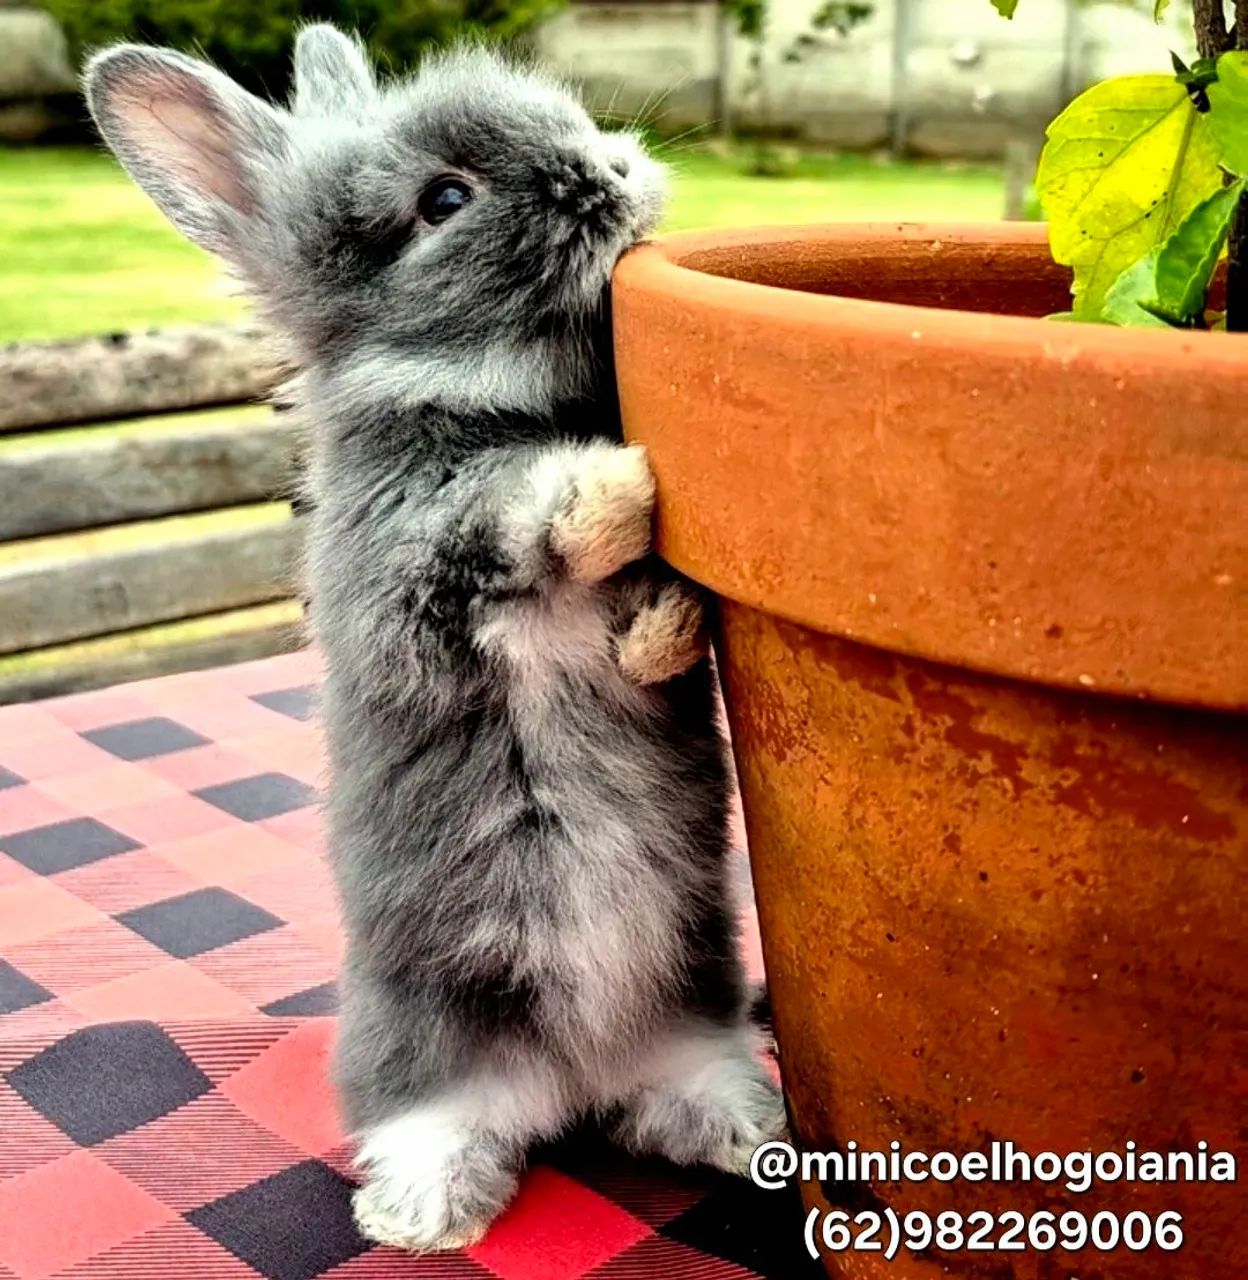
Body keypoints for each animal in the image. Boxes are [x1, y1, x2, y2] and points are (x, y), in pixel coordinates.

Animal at [85, 26, 784, 1253]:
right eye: (443, 200)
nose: (610, 169)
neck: (499, 404)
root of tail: (576, 1077)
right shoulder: (408, 578)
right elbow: (516, 521)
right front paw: (616, 482)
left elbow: (643, 630)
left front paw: (660, 618)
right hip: (425, 1038)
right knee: (437, 1124)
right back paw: (420, 1215)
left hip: (694, 1002)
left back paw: (758, 1132)